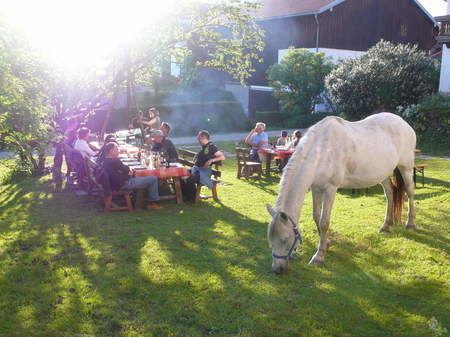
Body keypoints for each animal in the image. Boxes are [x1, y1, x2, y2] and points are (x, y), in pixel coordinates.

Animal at [266, 113, 416, 272]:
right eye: (270, 240)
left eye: (285, 239)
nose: (277, 269)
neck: (321, 152)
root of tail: (404, 123)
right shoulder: (316, 189)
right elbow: (316, 216)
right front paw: (326, 243)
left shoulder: (330, 189)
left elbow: (324, 222)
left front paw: (319, 256)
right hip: (383, 174)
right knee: (390, 194)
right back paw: (386, 225)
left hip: (406, 167)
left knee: (410, 192)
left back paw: (410, 223)